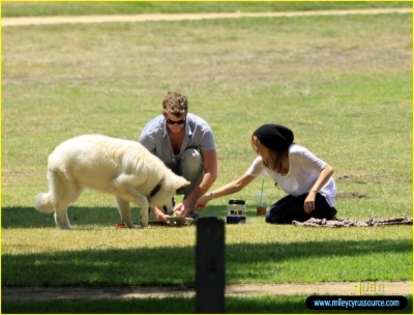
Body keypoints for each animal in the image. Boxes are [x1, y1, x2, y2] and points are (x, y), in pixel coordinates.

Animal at [35, 135, 191, 230]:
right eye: (172, 197)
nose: (172, 211)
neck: (155, 177)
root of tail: (54, 153)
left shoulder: (121, 194)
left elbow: (126, 213)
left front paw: (132, 226)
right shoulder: (121, 185)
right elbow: (144, 201)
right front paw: (144, 221)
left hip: (73, 192)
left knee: (62, 207)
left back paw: (67, 226)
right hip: (67, 190)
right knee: (58, 209)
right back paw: (62, 228)